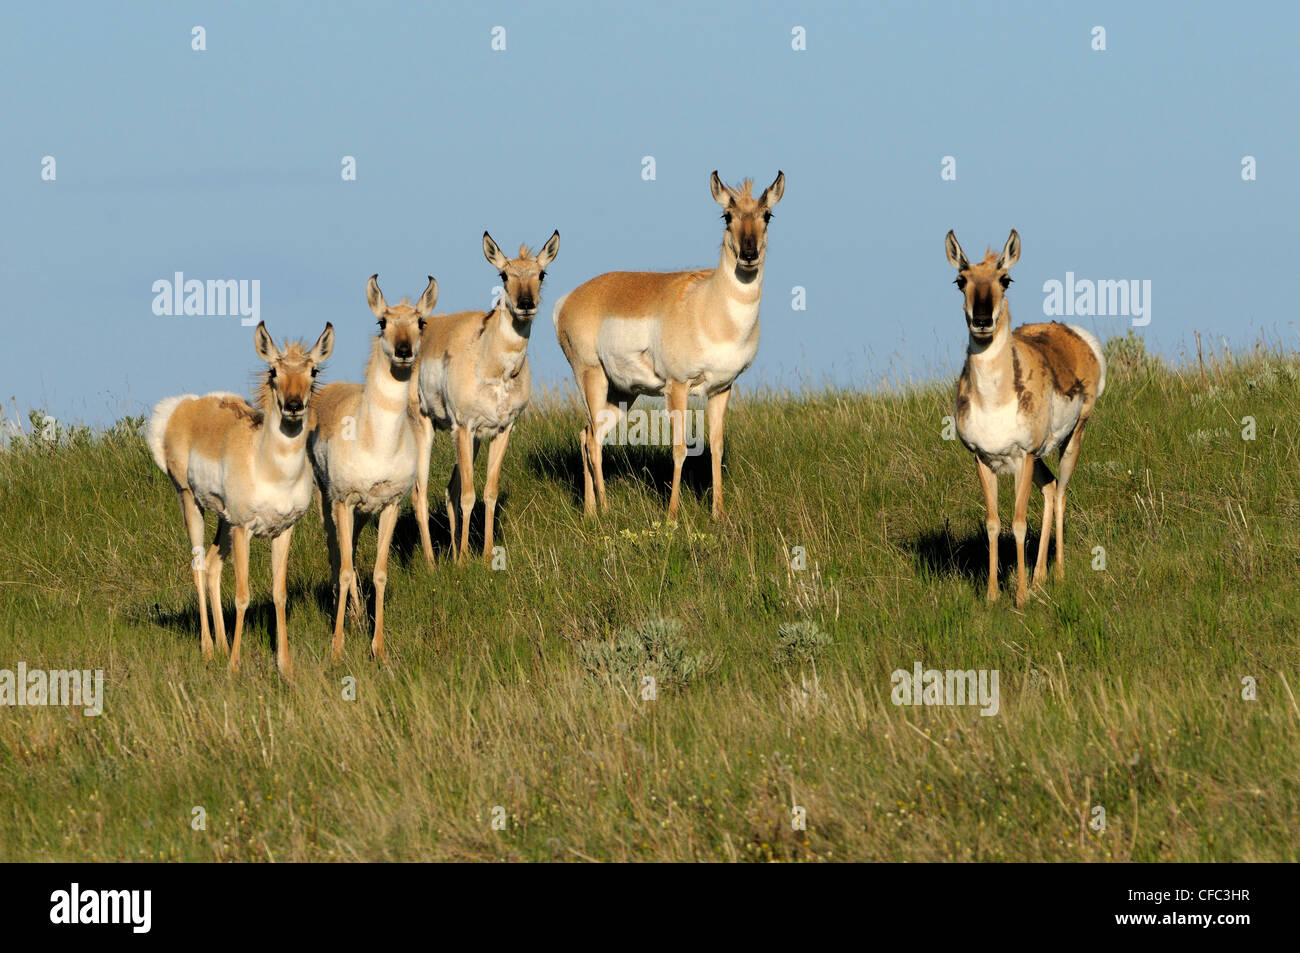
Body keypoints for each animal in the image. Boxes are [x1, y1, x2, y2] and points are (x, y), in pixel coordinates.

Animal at [146, 315, 335, 670]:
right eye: (274, 371)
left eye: (313, 371)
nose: (293, 406)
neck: (271, 469)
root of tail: (184, 406)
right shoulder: (244, 530)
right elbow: (243, 595)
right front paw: (234, 665)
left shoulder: (283, 531)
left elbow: (279, 594)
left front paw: (284, 665)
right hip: (190, 502)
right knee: (198, 567)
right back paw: (209, 648)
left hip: (224, 521)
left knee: (213, 567)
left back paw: (221, 644)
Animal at [312, 275, 439, 660]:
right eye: (382, 321)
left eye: (420, 322)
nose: (403, 350)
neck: (376, 440)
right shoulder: (344, 501)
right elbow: (343, 570)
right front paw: (337, 647)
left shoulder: (389, 506)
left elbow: (379, 573)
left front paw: (378, 647)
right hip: (328, 504)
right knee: (337, 555)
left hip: (362, 513)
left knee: (350, 553)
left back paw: (355, 616)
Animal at [416, 230, 559, 561]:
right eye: (504, 274)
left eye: (541, 274)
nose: (525, 303)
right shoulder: (463, 427)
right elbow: (469, 496)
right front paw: (465, 561)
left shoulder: (501, 429)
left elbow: (489, 493)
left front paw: (483, 554)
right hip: (425, 427)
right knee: (420, 494)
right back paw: (431, 561)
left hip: (471, 439)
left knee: (449, 489)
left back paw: (453, 550)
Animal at [551, 167, 780, 517]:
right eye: (726, 215)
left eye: (767, 214)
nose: (749, 255)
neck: (708, 306)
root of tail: (569, 299)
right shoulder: (678, 386)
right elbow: (679, 448)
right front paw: (672, 515)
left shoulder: (721, 389)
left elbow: (716, 447)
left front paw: (718, 514)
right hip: (592, 378)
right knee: (591, 440)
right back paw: (605, 508)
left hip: (621, 393)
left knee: (588, 433)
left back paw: (590, 511)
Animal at [946, 226, 1107, 605]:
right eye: (961, 280)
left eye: (1005, 279)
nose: (982, 321)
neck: (994, 401)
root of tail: (1076, 336)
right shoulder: (983, 459)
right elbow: (992, 523)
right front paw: (992, 595)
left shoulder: (1023, 456)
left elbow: (1018, 523)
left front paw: (1019, 597)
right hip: (1039, 460)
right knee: (1049, 488)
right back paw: (1039, 577)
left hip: (1071, 440)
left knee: (1061, 492)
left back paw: (1056, 575)